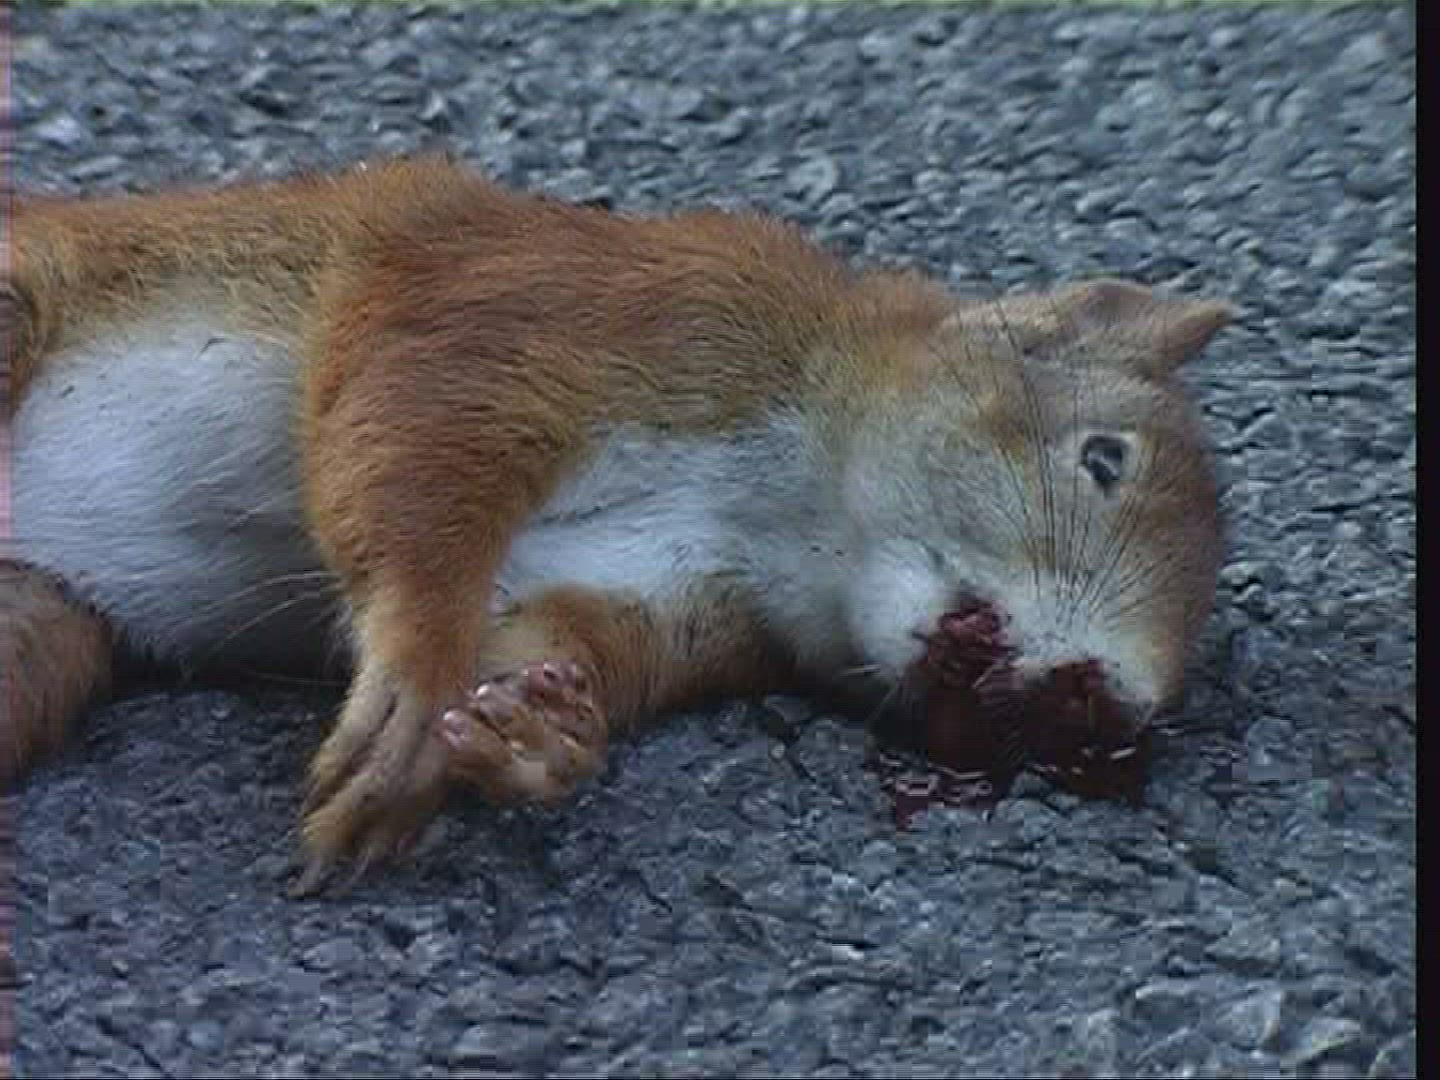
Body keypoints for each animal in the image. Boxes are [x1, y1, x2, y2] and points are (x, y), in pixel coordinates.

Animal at [2, 155, 1231, 893]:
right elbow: (418, 446)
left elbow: (555, 635)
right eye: (1105, 458)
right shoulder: (570, 307)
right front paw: (412, 686)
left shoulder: (673, 597)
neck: (790, 508)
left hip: (40, 631)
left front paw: (546, 732)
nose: (1103, 706)